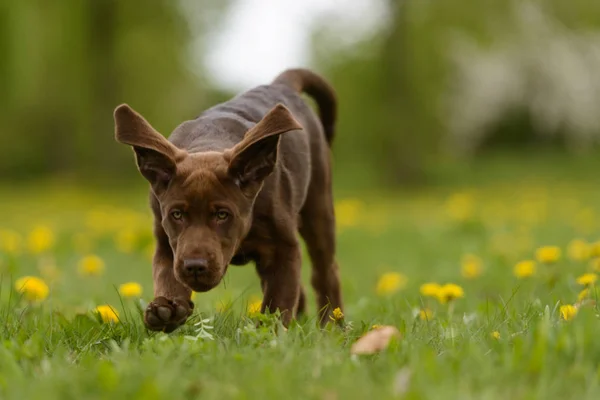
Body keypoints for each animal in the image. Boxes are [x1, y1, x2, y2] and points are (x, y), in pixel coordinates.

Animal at [113, 69, 342, 332]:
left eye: (222, 215)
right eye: (177, 214)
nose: (194, 266)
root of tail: (281, 84)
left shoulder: (284, 248)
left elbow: (278, 301)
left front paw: (269, 334)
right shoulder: (167, 243)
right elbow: (167, 276)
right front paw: (166, 309)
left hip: (318, 207)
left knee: (325, 272)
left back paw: (332, 326)